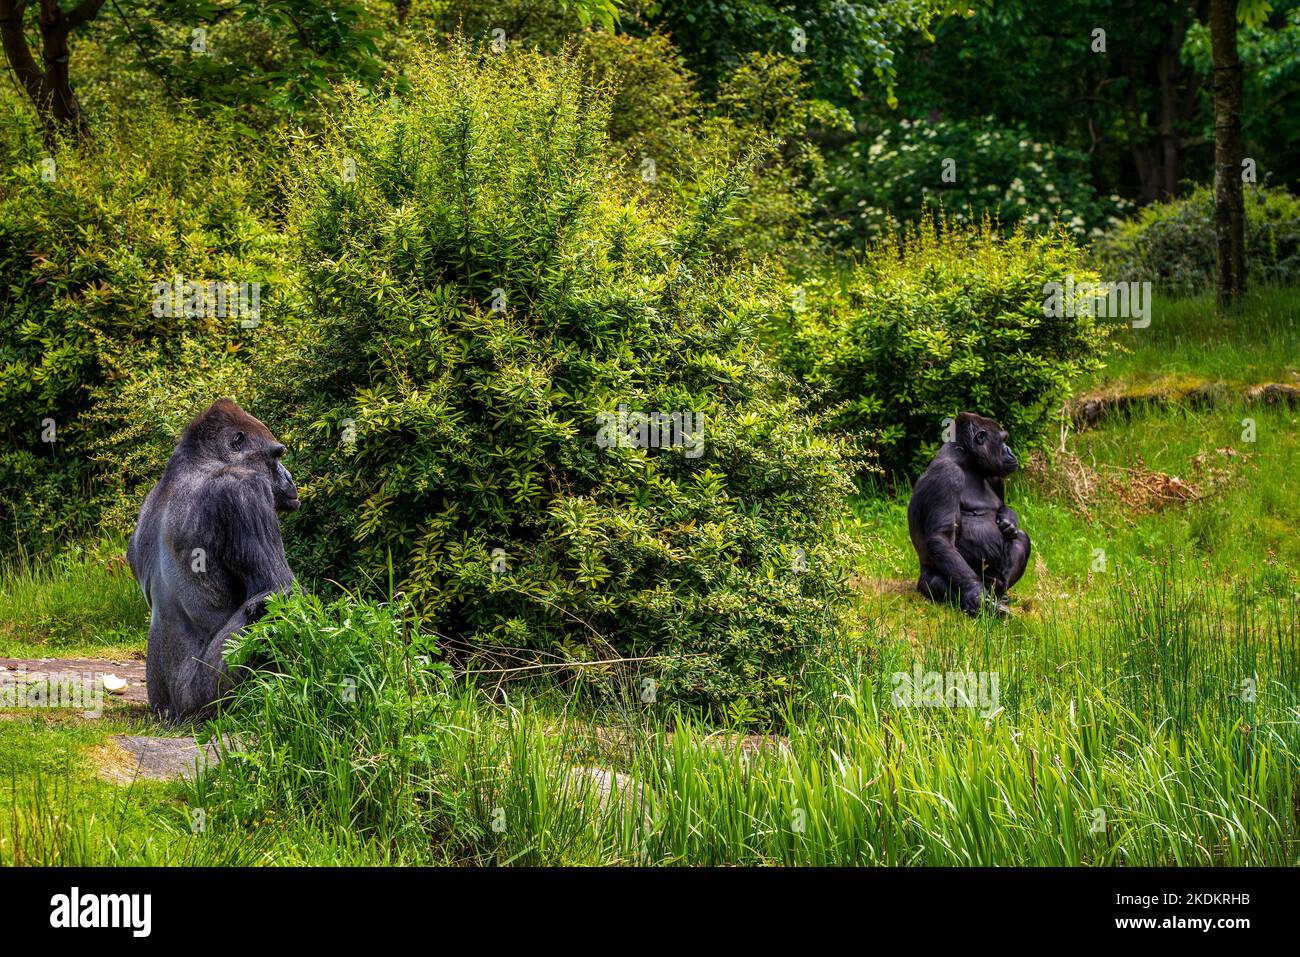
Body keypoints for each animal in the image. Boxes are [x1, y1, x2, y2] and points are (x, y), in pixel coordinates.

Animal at [127, 395, 299, 717]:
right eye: (276, 456)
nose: (289, 477)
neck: (200, 461)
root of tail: (174, 717)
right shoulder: (243, 490)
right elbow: (278, 590)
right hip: (204, 704)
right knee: (264, 605)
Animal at [909, 408, 1029, 616]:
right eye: (1003, 440)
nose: (1010, 451)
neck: (966, 459)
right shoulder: (948, 474)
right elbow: (941, 538)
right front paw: (976, 596)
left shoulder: (995, 476)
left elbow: (1004, 508)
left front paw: (1008, 520)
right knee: (932, 582)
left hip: (994, 582)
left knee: (1021, 538)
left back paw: (1000, 594)